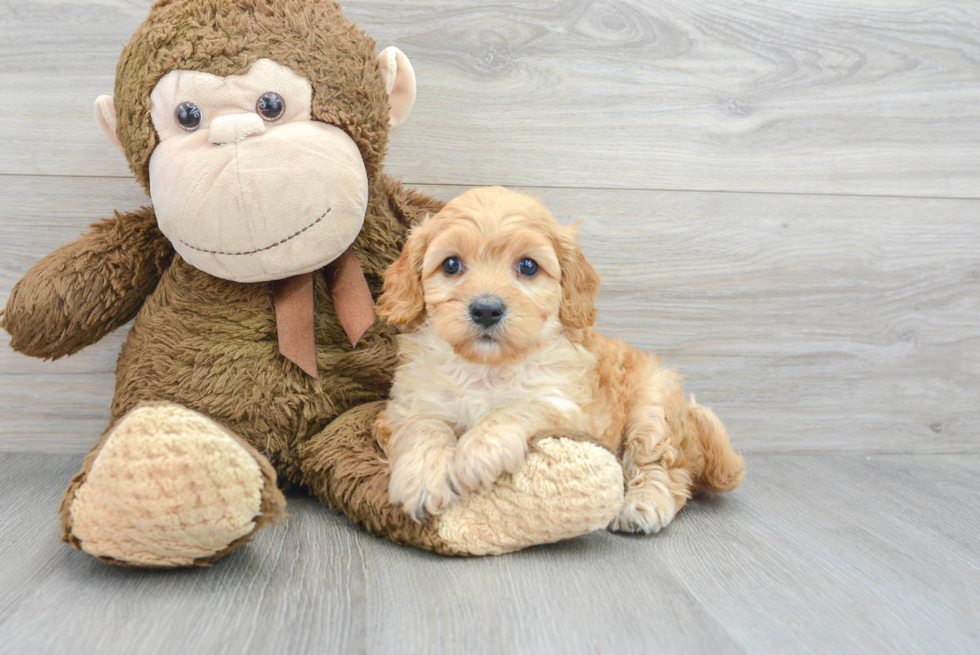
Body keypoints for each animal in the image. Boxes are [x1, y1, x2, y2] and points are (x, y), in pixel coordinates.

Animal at [376, 186, 744, 532]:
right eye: (451, 264)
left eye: (527, 266)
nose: (486, 309)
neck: (487, 367)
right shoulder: (411, 402)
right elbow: (423, 426)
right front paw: (422, 479)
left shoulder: (569, 408)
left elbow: (518, 409)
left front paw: (478, 452)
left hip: (653, 404)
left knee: (664, 467)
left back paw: (642, 505)